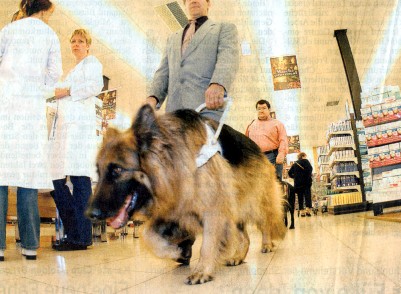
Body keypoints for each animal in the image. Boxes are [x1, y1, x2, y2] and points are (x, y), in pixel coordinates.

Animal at [86, 104, 286, 284]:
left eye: (117, 170)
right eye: (98, 172)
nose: (89, 214)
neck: (175, 162)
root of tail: (259, 149)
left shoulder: (213, 208)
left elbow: (207, 244)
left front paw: (202, 270)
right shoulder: (174, 208)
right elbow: (147, 235)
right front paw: (177, 251)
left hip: (255, 203)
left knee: (265, 223)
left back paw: (267, 244)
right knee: (244, 236)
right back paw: (238, 256)